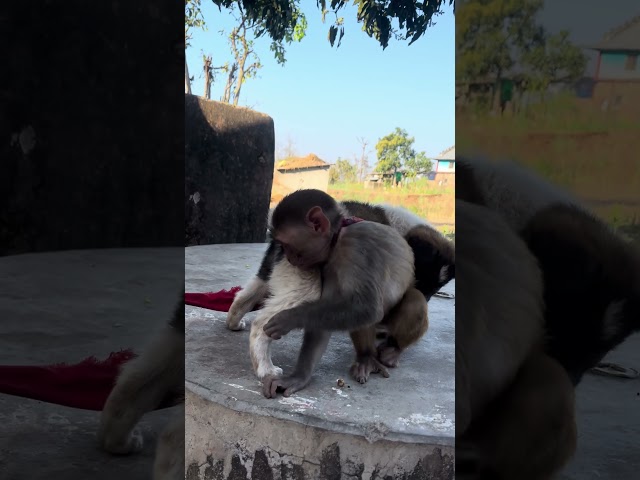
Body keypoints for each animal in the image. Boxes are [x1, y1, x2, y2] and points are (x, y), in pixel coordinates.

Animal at [226, 197, 454, 382]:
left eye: (434, 290)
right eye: (422, 282)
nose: (427, 296)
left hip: (274, 268)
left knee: (244, 295)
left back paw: (234, 322)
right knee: (262, 323)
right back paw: (265, 367)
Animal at [253, 189, 420, 398]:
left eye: (286, 244)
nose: (288, 258)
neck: (338, 238)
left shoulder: (358, 248)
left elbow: (367, 307)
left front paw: (289, 319)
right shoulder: (325, 267)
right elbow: (322, 321)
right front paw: (299, 377)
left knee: (404, 304)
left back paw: (391, 352)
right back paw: (366, 357)